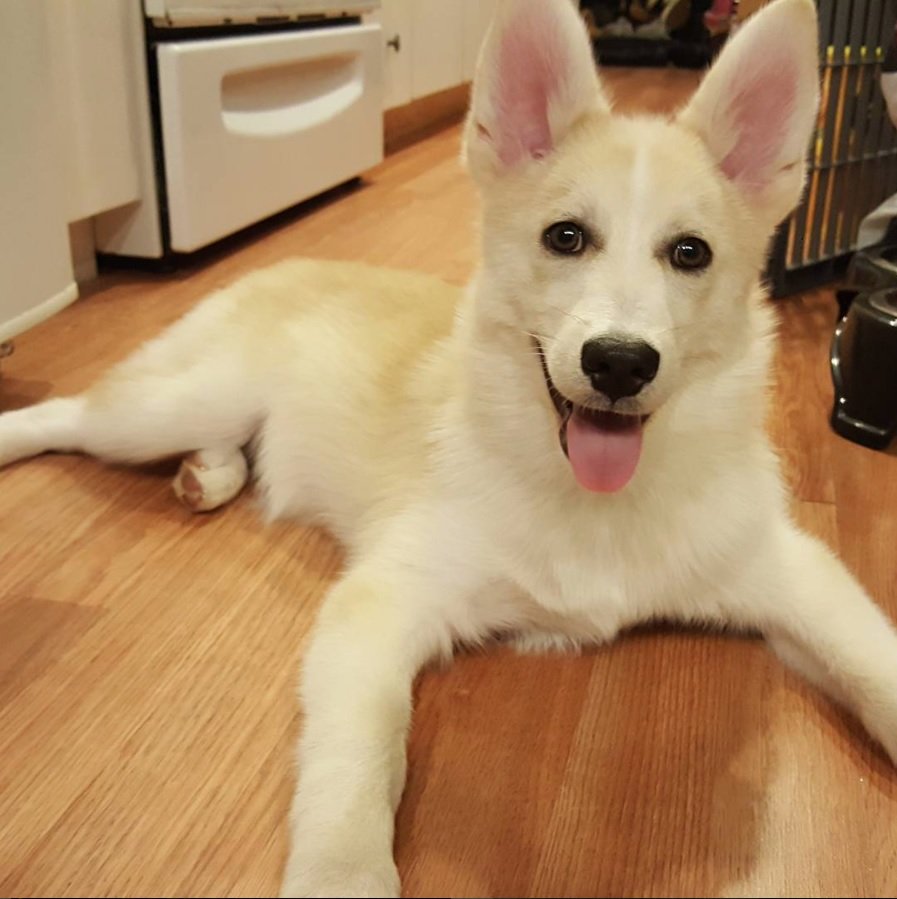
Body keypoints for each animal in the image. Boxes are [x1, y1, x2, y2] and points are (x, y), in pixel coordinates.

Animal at [1, 1, 896, 899]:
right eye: (564, 237)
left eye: (690, 253)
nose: (618, 362)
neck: (590, 501)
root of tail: (289, 259)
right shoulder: (382, 602)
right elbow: (358, 765)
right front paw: (343, 871)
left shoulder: (787, 570)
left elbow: (871, 662)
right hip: (169, 405)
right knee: (74, 412)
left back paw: (208, 473)